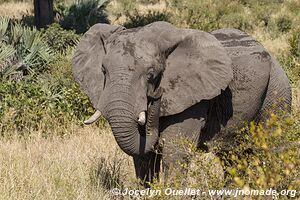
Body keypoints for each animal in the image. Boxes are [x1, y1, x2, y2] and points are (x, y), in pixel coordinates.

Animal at [71, 21, 292, 185]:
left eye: (151, 74)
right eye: (104, 70)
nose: (156, 95)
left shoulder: (193, 99)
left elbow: (174, 152)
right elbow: (142, 156)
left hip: (277, 90)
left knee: (274, 146)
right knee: (231, 156)